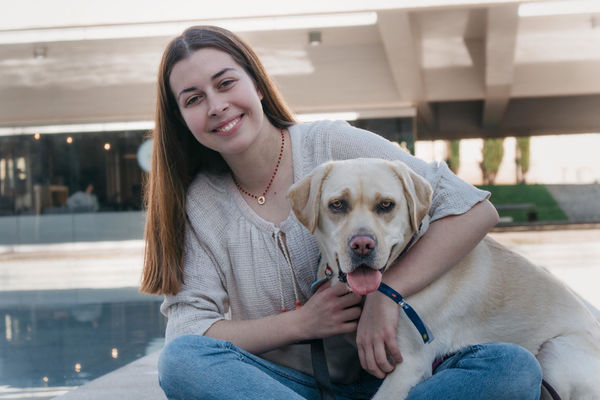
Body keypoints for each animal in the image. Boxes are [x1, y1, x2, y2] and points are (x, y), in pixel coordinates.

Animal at [288, 158, 600, 400]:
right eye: (337, 205)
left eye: (386, 205)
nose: (362, 245)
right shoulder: (337, 357)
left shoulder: (408, 365)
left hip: (554, 353)